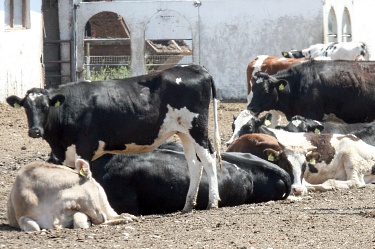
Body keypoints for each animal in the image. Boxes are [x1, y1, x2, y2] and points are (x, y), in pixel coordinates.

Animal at [5, 64, 222, 212]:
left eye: (45, 106)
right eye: (26, 107)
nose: (35, 131)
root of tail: (193, 67)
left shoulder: (84, 147)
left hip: (197, 128)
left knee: (209, 159)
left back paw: (213, 201)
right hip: (184, 132)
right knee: (194, 164)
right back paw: (188, 204)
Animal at [6, 159, 137, 231]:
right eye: (93, 188)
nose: (101, 216)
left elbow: (80, 221)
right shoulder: (22, 217)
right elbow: (34, 227)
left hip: (105, 206)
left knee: (113, 215)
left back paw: (127, 217)